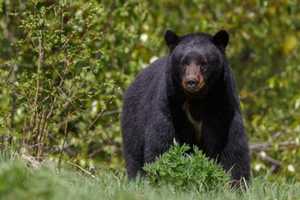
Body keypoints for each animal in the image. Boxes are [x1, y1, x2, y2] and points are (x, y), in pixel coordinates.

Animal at [122, 29, 251, 181]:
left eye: (203, 63)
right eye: (183, 63)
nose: (191, 82)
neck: (196, 99)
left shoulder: (222, 103)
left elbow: (232, 144)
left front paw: (237, 181)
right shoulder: (170, 104)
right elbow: (162, 140)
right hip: (134, 118)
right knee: (133, 152)